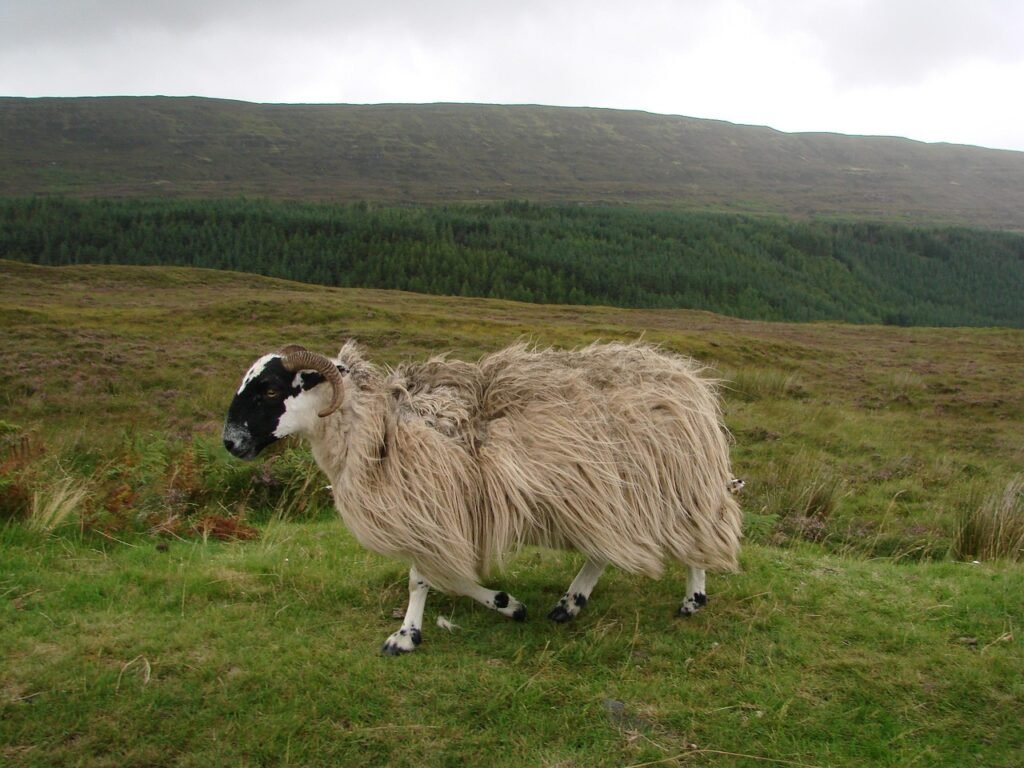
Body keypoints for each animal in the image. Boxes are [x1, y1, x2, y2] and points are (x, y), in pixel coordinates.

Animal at [223, 340, 743, 654]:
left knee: (697, 532)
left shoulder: (434, 508)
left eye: (269, 389)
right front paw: (507, 603)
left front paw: (408, 634)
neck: (379, 425)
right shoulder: (440, 516)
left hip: (675, 483)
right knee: (602, 549)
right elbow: (445, 576)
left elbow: (425, 578)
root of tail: (685, 376)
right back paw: (570, 603)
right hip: (607, 494)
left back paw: (693, 598)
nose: (230, 442)